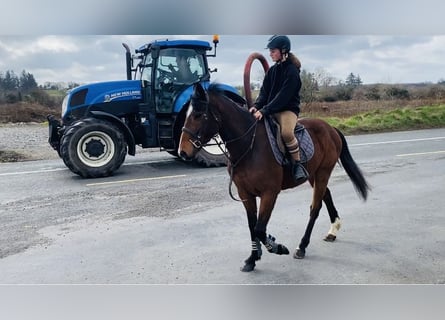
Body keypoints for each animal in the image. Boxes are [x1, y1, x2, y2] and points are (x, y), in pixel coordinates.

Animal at [179, 82, 370, 272]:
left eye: (198, 115)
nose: (183, 151)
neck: (249, 146)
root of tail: (330, 128)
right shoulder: (245, 194)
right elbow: (252, 226)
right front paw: (252, 258)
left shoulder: (269, 193)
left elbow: (259, 228)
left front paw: (277, 247)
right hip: (313, 175)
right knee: (327, 195)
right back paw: (332, 231)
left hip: (323, 172)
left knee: (315, 208)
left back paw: (302, 246)